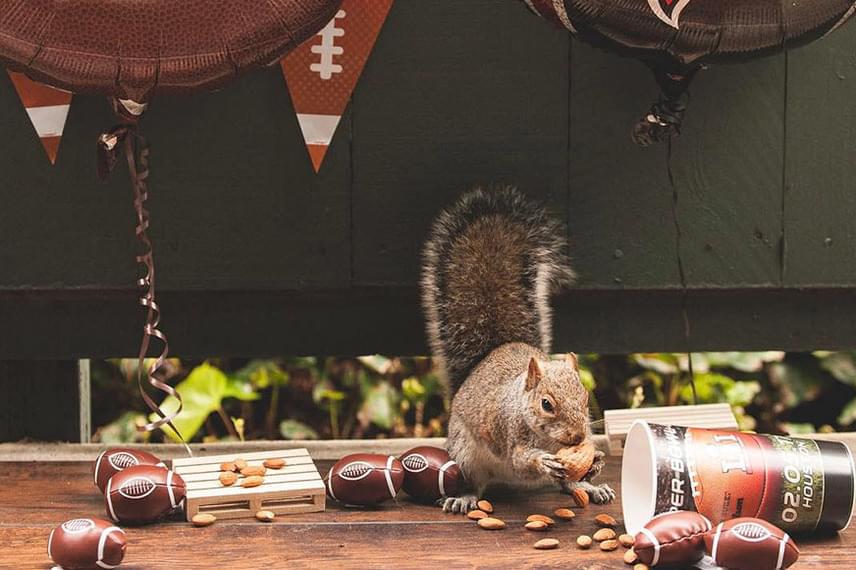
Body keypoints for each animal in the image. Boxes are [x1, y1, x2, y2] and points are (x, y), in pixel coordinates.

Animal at [418, 185, 612, 510]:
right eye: (546, 404)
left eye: (586, 398)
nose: (576, 437)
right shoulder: (510, 434)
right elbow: (522, 461)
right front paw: (543, 462)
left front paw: (595, 462)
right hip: (466, 454)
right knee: (474, 482)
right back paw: (464, 497)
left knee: (568, 484)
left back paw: (587, 486)